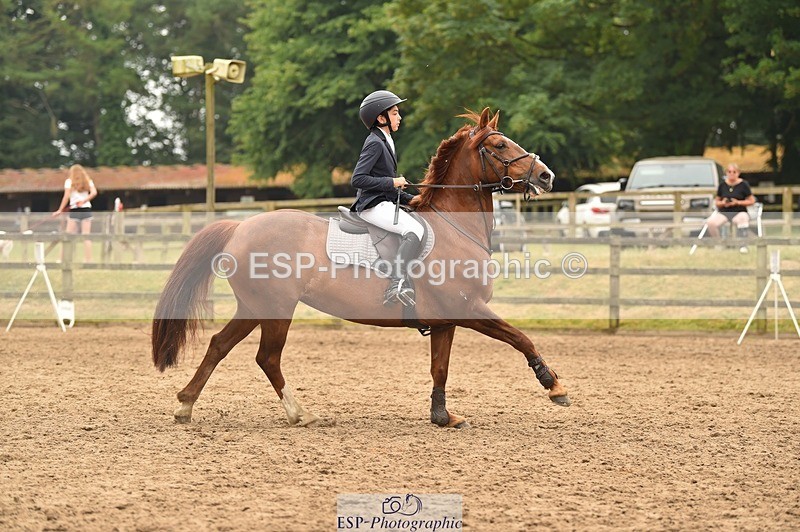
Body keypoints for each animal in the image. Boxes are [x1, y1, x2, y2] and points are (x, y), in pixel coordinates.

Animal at [151, 107, 570, 429]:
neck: (455, 228)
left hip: (255, 307)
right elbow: (520, 338)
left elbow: (440, 368)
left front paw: (442, 417)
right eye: (499, 145)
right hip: (275, 308)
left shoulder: (446, 320)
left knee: (219, 345)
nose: (546, 176)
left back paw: (185, 404)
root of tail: (240, 226)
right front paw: (554, 385)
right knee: (267, 358)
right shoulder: (469, 308)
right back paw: (299, 414)